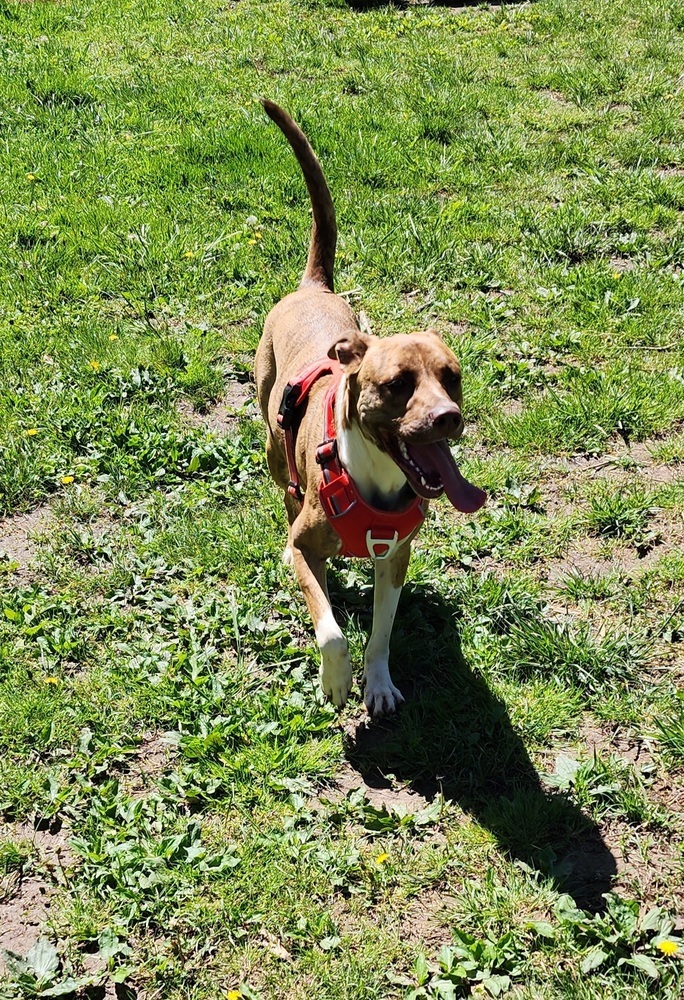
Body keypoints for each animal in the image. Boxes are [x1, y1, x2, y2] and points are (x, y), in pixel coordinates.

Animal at [255, 97, 486, 716]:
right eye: (399, 383)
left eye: (451, 378)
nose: (448, 418)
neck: (377, 478)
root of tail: (313, 287)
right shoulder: (305, 545)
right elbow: (332, 631)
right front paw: (336, 681)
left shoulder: (395, 560)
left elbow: (380, 634)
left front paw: (376, 684)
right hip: (272, 441)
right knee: (284, 487)